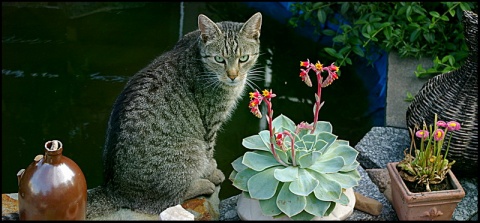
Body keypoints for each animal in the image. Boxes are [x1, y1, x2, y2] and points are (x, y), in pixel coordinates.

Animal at [86, 12, 262, 218]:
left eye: (244, 58)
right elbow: (209, 152)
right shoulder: (210, 122)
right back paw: (204, 184)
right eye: (219, 59)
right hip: (190, 151)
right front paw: (211, 171)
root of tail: (114, 190)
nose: (233, 76)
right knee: (170, 197)